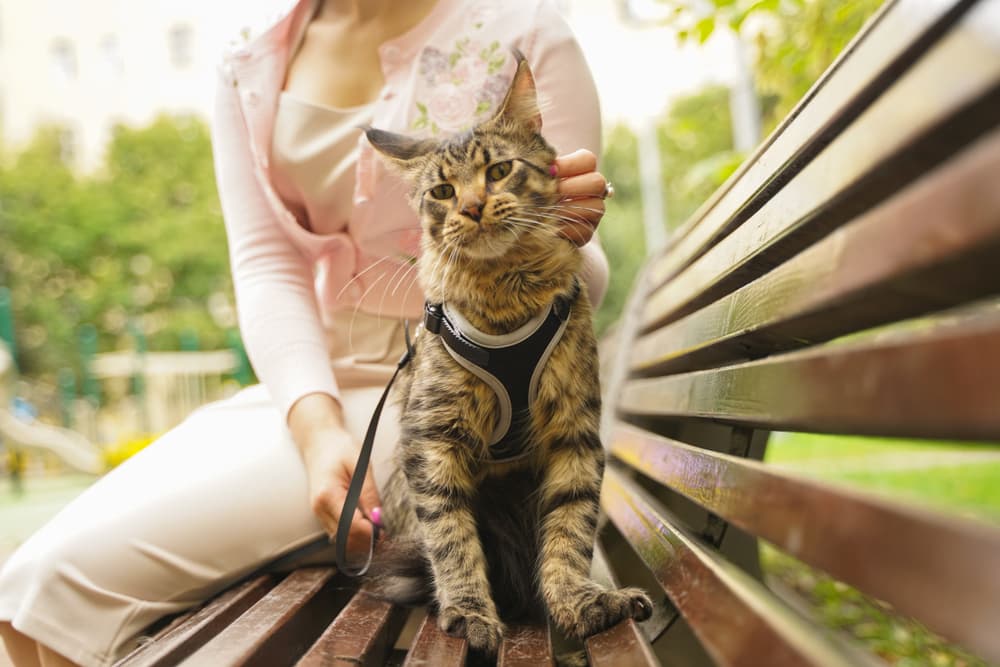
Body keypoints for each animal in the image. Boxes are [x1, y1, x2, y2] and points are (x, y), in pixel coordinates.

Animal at [364, 51, 652, 652]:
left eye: (498, 171)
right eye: (442, 193)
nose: (473, 207)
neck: (506, 296)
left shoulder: (574, 432)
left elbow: (570, 530)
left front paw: (578, 602)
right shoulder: (434, 441)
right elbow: (450, 538)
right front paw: (469, 611)